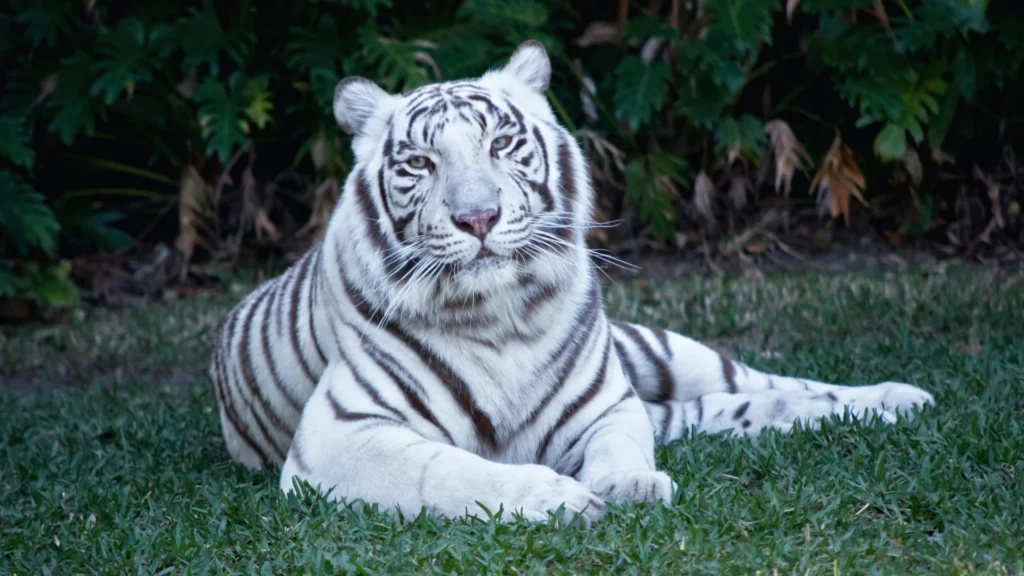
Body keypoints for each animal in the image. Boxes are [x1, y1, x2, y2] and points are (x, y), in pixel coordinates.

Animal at [209, 41, 935, 524]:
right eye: (421, 163)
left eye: (501, 144)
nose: (478, 217)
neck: (497, 315)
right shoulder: (339, 436)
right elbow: (448, 469)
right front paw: (555, 497)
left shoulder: (607, 404)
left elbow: (621, 445)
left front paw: (632, 484)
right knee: (726, 411)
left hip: (659, 352)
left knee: (765, 384)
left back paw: (898, 397)